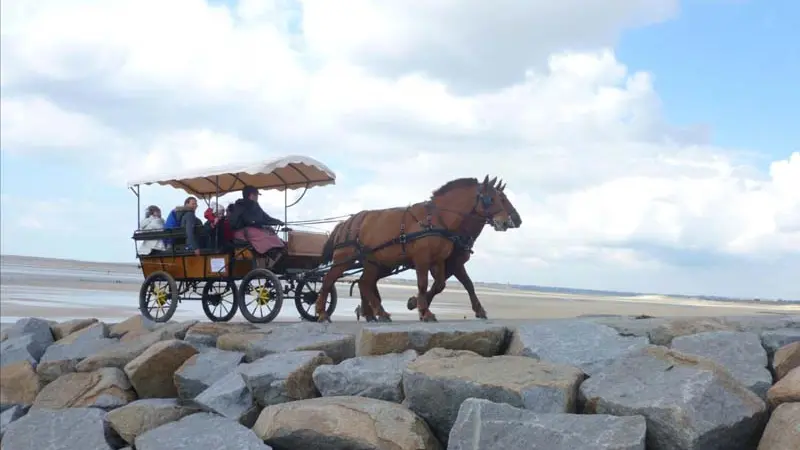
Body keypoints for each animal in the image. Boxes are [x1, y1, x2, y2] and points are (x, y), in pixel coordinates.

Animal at [314, 175, 512, 320]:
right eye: (492, 199)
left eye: (500, 198)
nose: (507, 221)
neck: (437, 218)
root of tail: (348, 221)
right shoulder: (423, 259)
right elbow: (423, 284)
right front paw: (424, 311)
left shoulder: (439, 260)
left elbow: (440, 284)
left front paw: (417, 304)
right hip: (344, 259)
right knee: (329, 280)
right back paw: (322, 312)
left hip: (372, 261)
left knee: (364, 283)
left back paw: (378, 314)